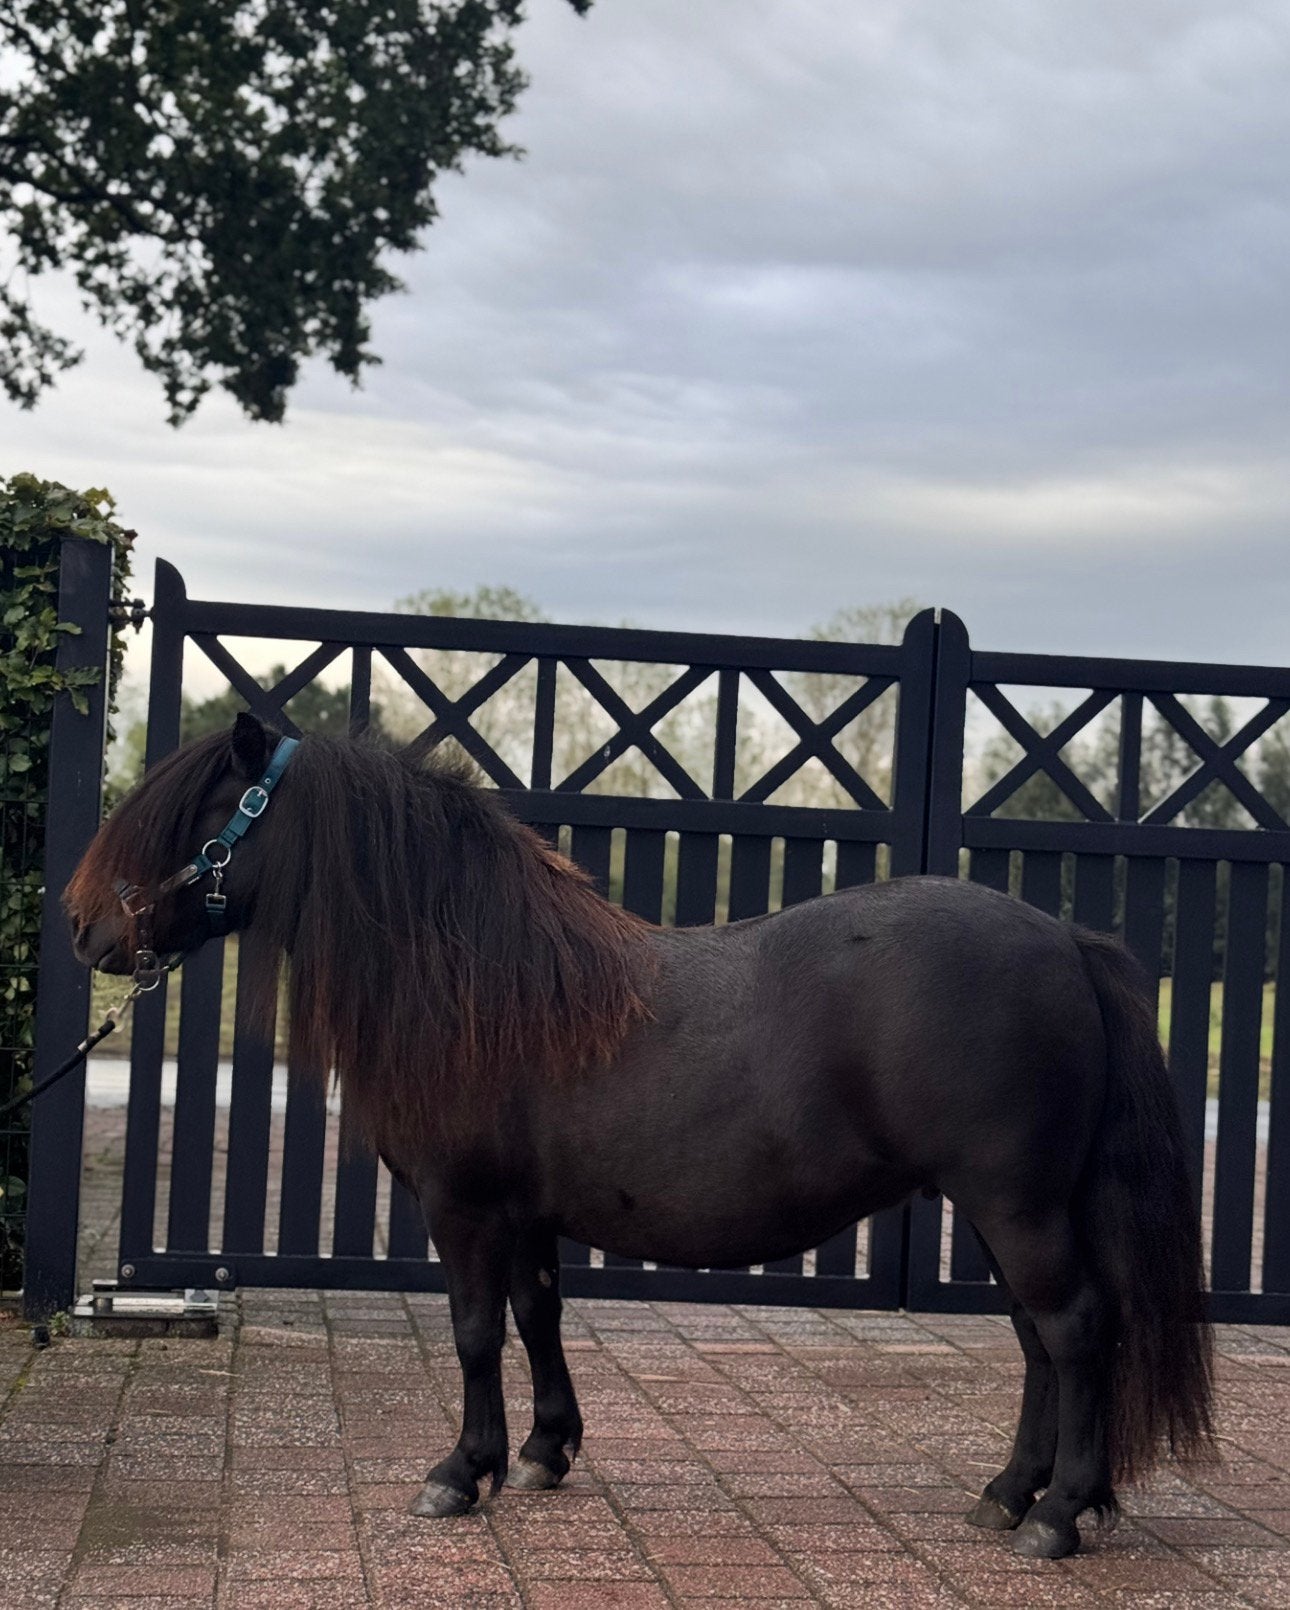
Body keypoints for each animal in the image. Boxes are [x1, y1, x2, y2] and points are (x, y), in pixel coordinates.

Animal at [64, 711, 1214, 1559]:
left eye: (199, 812)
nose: (83, 928)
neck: (477, 981)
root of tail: (1065, 938)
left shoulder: (462, 1206)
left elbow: (475, 1330)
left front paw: (460, 1472)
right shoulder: (526, 1213)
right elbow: (538, 1316)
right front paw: (542, 1451)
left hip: (1015, 1205)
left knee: (1074, 1330)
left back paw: (1059, 1515)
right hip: (1004, 1208)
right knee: (1037, 1339)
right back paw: (1009, 1493)